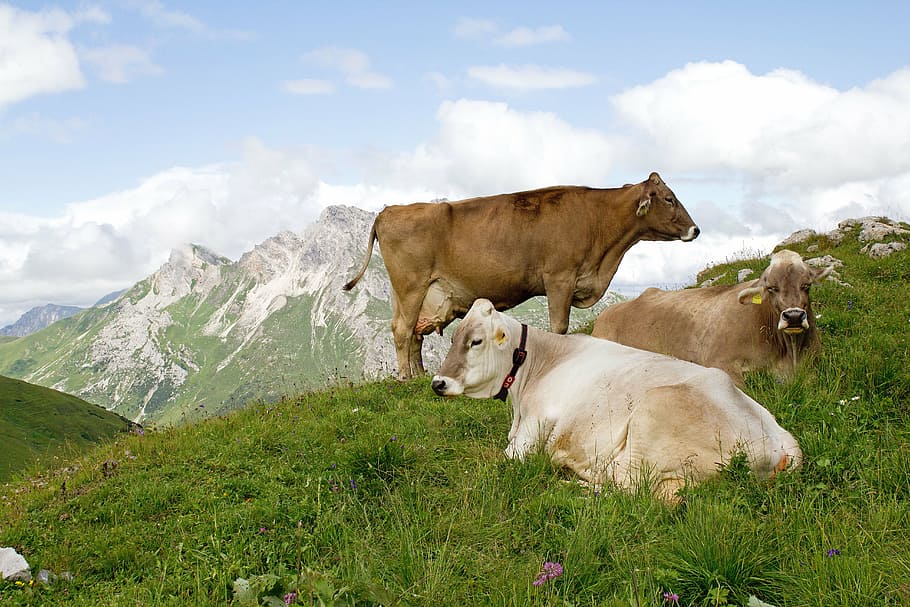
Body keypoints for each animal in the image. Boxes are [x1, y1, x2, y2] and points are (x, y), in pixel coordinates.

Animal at [343, 172, 699, 380]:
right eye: (669, 199)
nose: (696, 229)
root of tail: (389, 211)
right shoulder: (559, 278)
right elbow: (560, 326)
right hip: (411, 286)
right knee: (402, 331)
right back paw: (405, 378)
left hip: (418, 294)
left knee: (415, 334)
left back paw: (419, 376)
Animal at [431, 299, 802, 500]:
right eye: (453, 337)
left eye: (476, 341)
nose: (438, 382)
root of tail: (783, 443)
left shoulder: (531, 431)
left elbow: (491, 461)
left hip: (652, 420)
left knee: (634, 490)